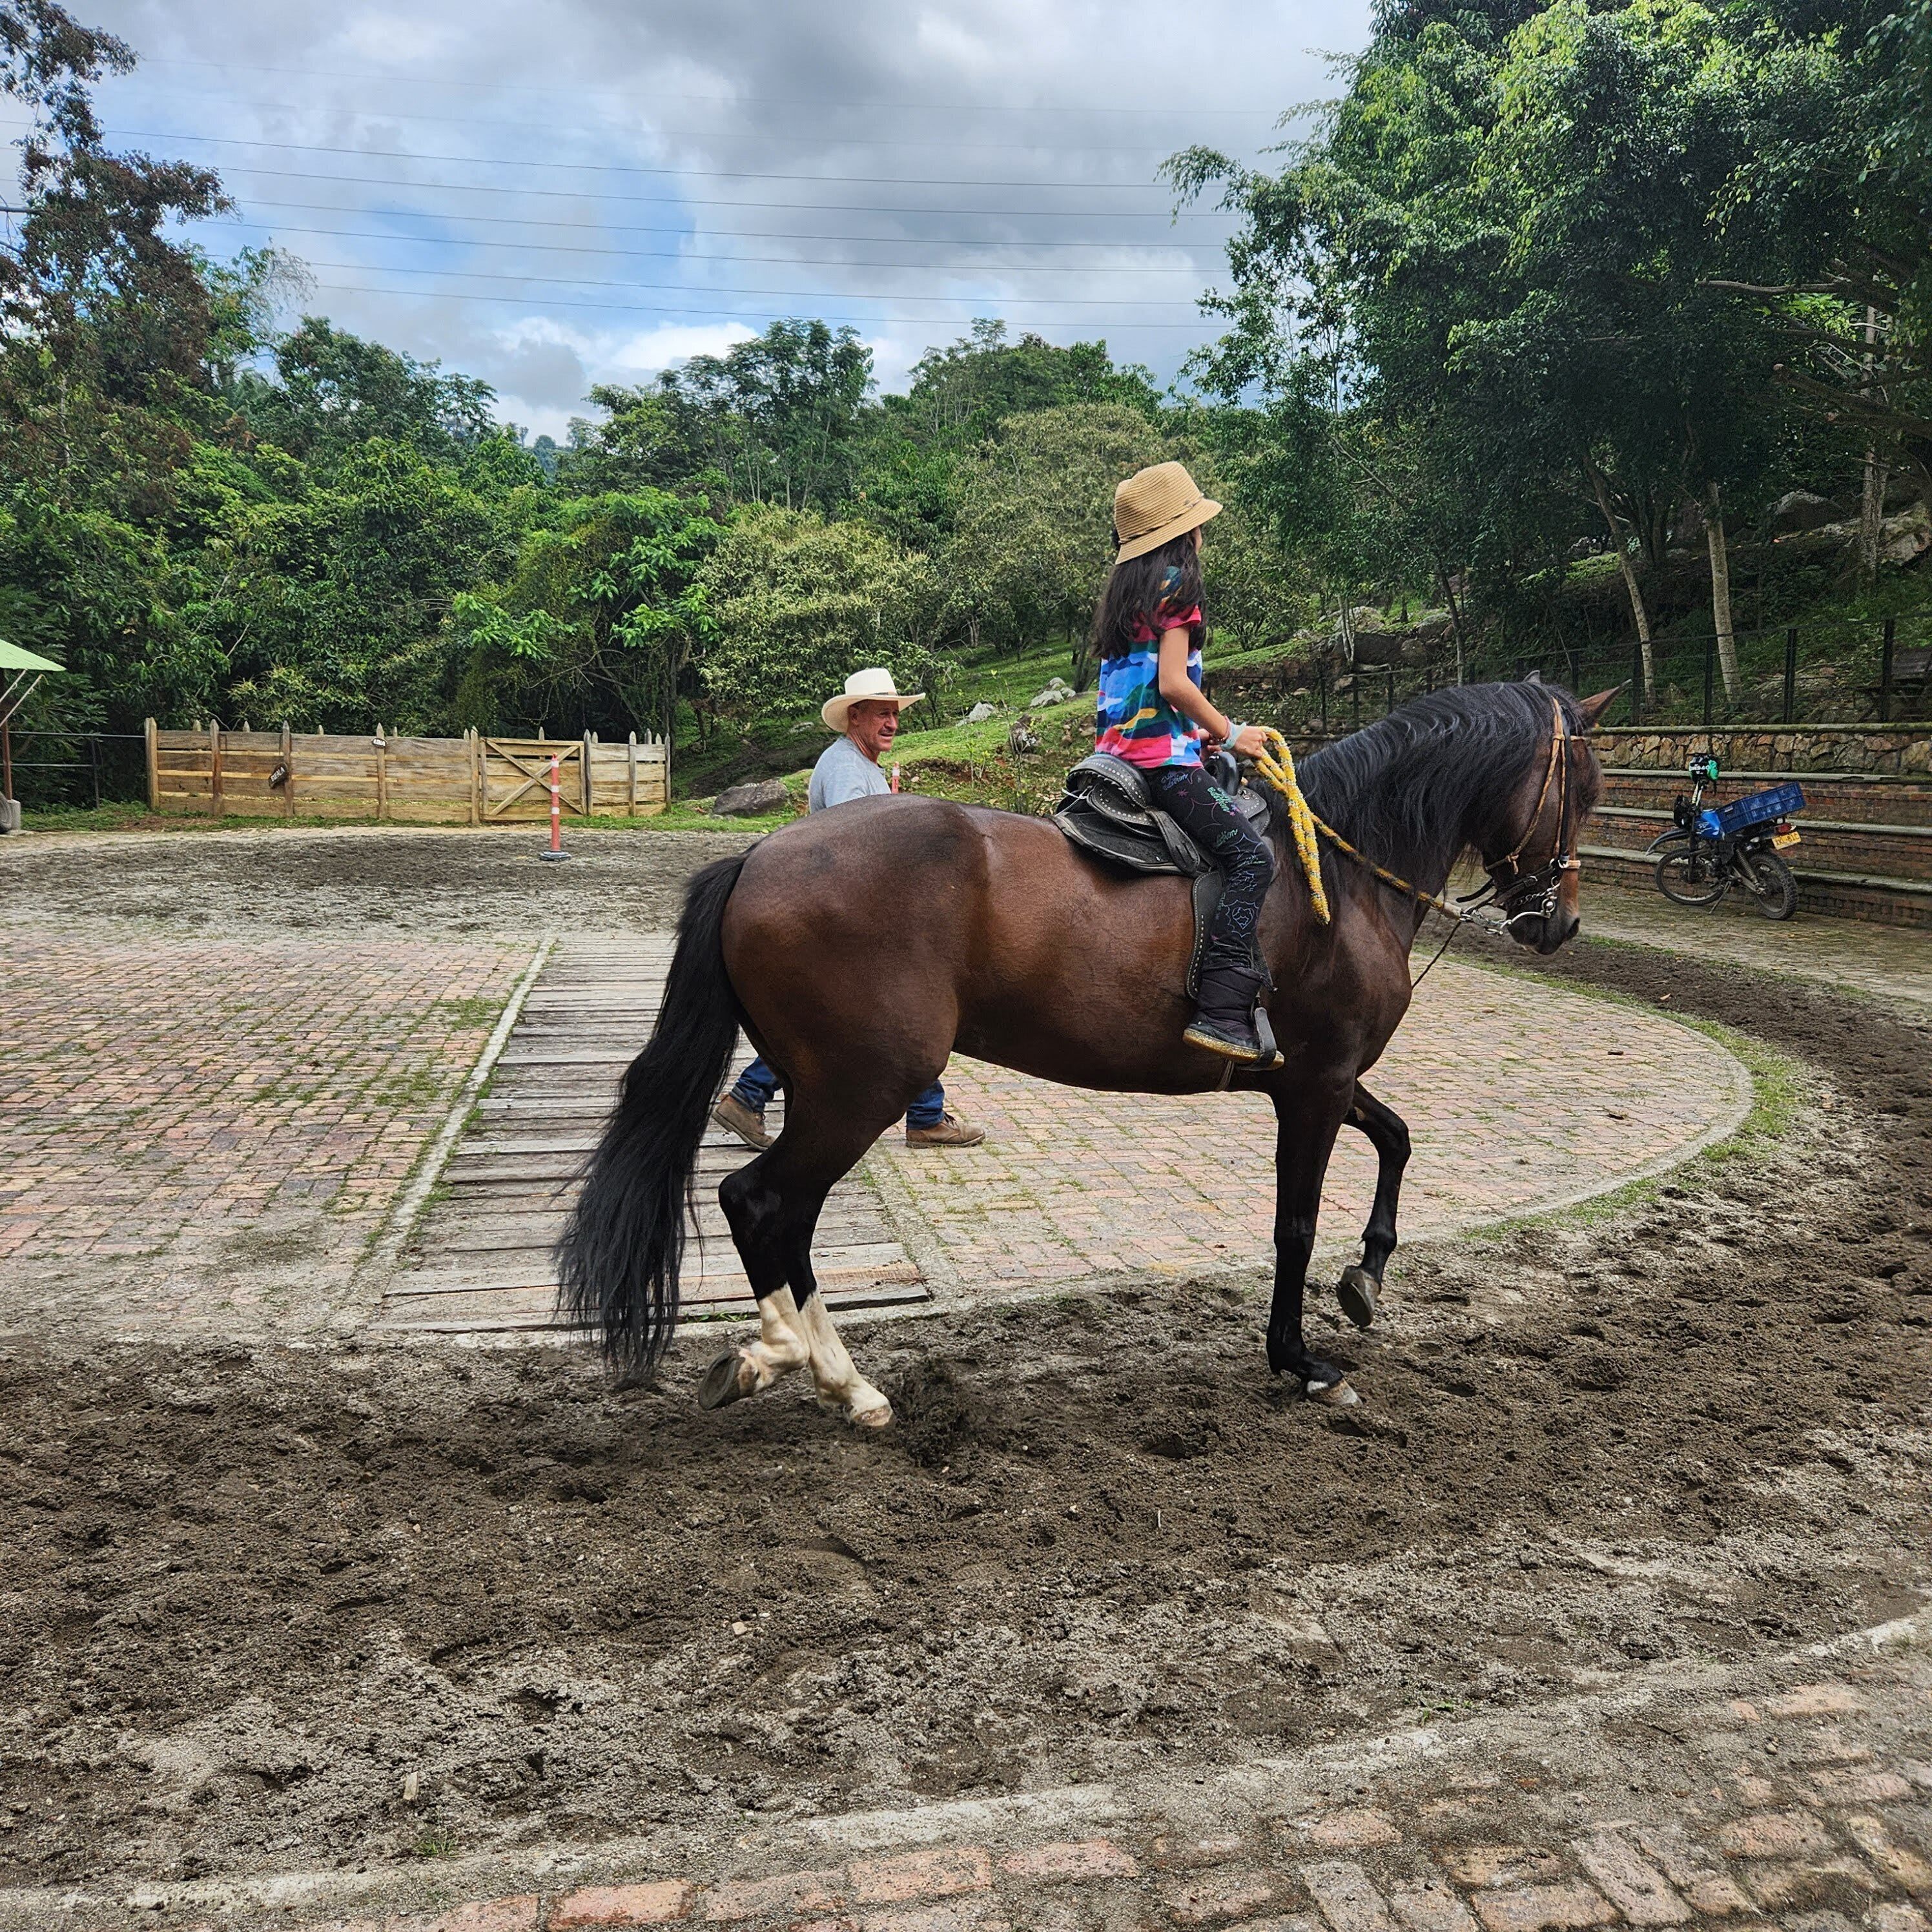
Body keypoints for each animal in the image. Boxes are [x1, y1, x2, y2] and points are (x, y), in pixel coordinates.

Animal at [560, 680, 1613, 1423]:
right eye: (1584, 791)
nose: (1557, 924)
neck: (1342, 879)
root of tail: (760, 857)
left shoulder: (1317, 1078)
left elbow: (1395, 1140)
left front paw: (1367, 1278)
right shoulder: (1316, 1086)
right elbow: (1295, 1225)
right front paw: (1301, 1359)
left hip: (838, 1091)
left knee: (780, 1213)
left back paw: (808, 1367)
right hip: (860, 1090)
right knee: (763, 1203)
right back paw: (816, 1368)